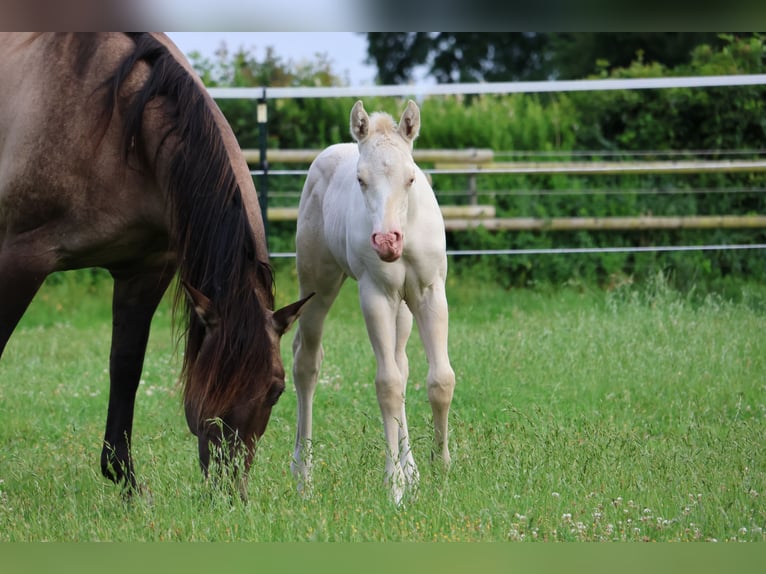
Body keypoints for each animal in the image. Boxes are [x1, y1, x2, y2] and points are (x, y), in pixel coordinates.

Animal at [0, 33, 311, 497]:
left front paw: (125, 480)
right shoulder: (20, 260)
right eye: (212, 383)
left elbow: (126, 367)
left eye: (275, 390)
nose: (228, 490)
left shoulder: (144, 270)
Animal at [291, 100, 456, 504]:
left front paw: (440, 470)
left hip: (403, 308)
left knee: (402, 363)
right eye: (361, 180)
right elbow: (388, 385)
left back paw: (412, 471)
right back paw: (303, 476)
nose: (386, 242)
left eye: (410, 178)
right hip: (318, 284)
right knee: (307, 362)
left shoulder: (429, 292)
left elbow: (440, 380)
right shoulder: (376, 295)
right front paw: (393, 485)